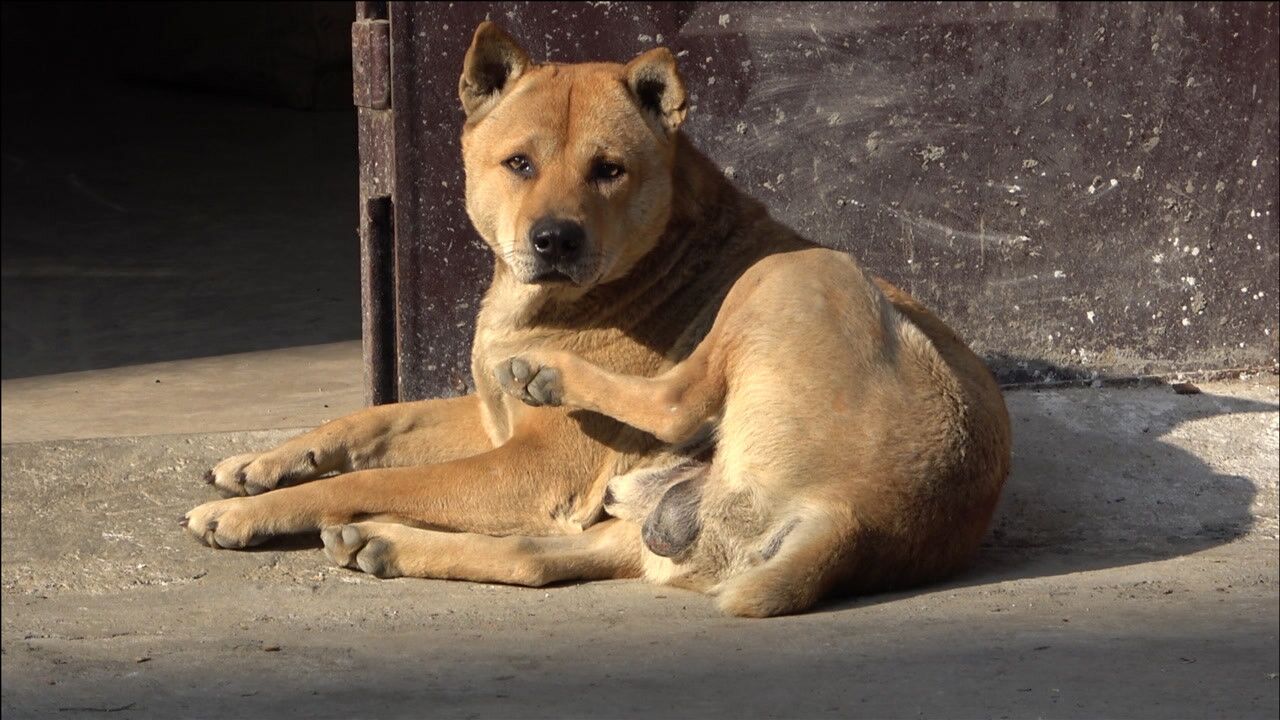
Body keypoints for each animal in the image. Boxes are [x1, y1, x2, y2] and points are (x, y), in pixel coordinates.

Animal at [186, 22, 1008, 617]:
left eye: (609, 170)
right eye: (518, 163)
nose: (555, 239)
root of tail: (861, 518)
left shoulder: (526, 469)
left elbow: (381, 474)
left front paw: (262, 509)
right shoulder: (490, 421)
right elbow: (371, 419)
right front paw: (261, 464)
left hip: (796, 272)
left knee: (679, 405)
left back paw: (550, 380)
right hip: (647, 529)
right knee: (534, 560)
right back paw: (385, 544)